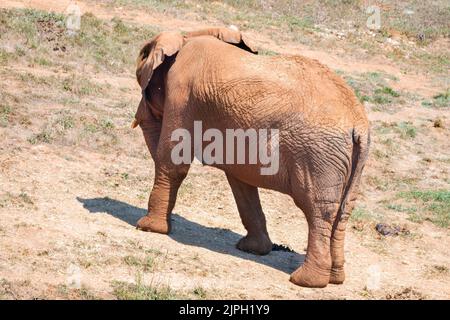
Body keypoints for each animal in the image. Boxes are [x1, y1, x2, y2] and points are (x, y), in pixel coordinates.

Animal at [131, 27, 370, 288]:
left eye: (141, 58)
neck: (187, 36)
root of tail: (357, 122)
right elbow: (240, 179)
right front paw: (254, 249)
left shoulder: (181, 94)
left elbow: (173, 160)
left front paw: (147, 227)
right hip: (348, 160)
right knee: (344, 210)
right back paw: (335, 278)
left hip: (317, 154)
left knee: (317, 207)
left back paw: (305, 281)